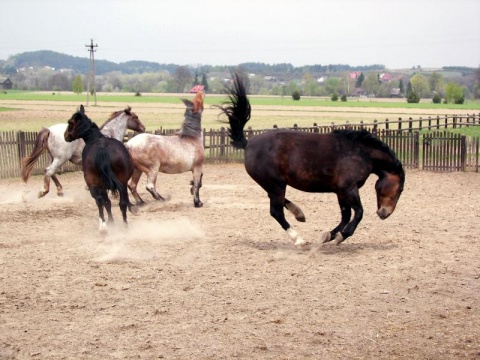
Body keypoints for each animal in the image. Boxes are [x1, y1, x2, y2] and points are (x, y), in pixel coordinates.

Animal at [63, 105, 135, 233]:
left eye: (70, 122)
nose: (65, 135)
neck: (95, 138)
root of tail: (102, 149)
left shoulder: (101, 187)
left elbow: (106, 203)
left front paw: (110, 222)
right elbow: (113, 203)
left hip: (94, 184)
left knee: (100, 201)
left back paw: (103, 226)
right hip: (121, 183)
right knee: (121, 203)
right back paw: (124, 225)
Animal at [218, 73, 404, 248]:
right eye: (400, 189)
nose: (385, 214)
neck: (360, 152)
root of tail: (248, 143)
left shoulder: (340, 191)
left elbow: (345, 215)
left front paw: (329, 236)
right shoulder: (349, 188)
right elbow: (358, 213)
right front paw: (341, 236)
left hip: (272, 184)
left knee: (278, 203)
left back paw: (299, 213)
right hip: (276, 184)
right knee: (276, 211)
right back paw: (298, 239)